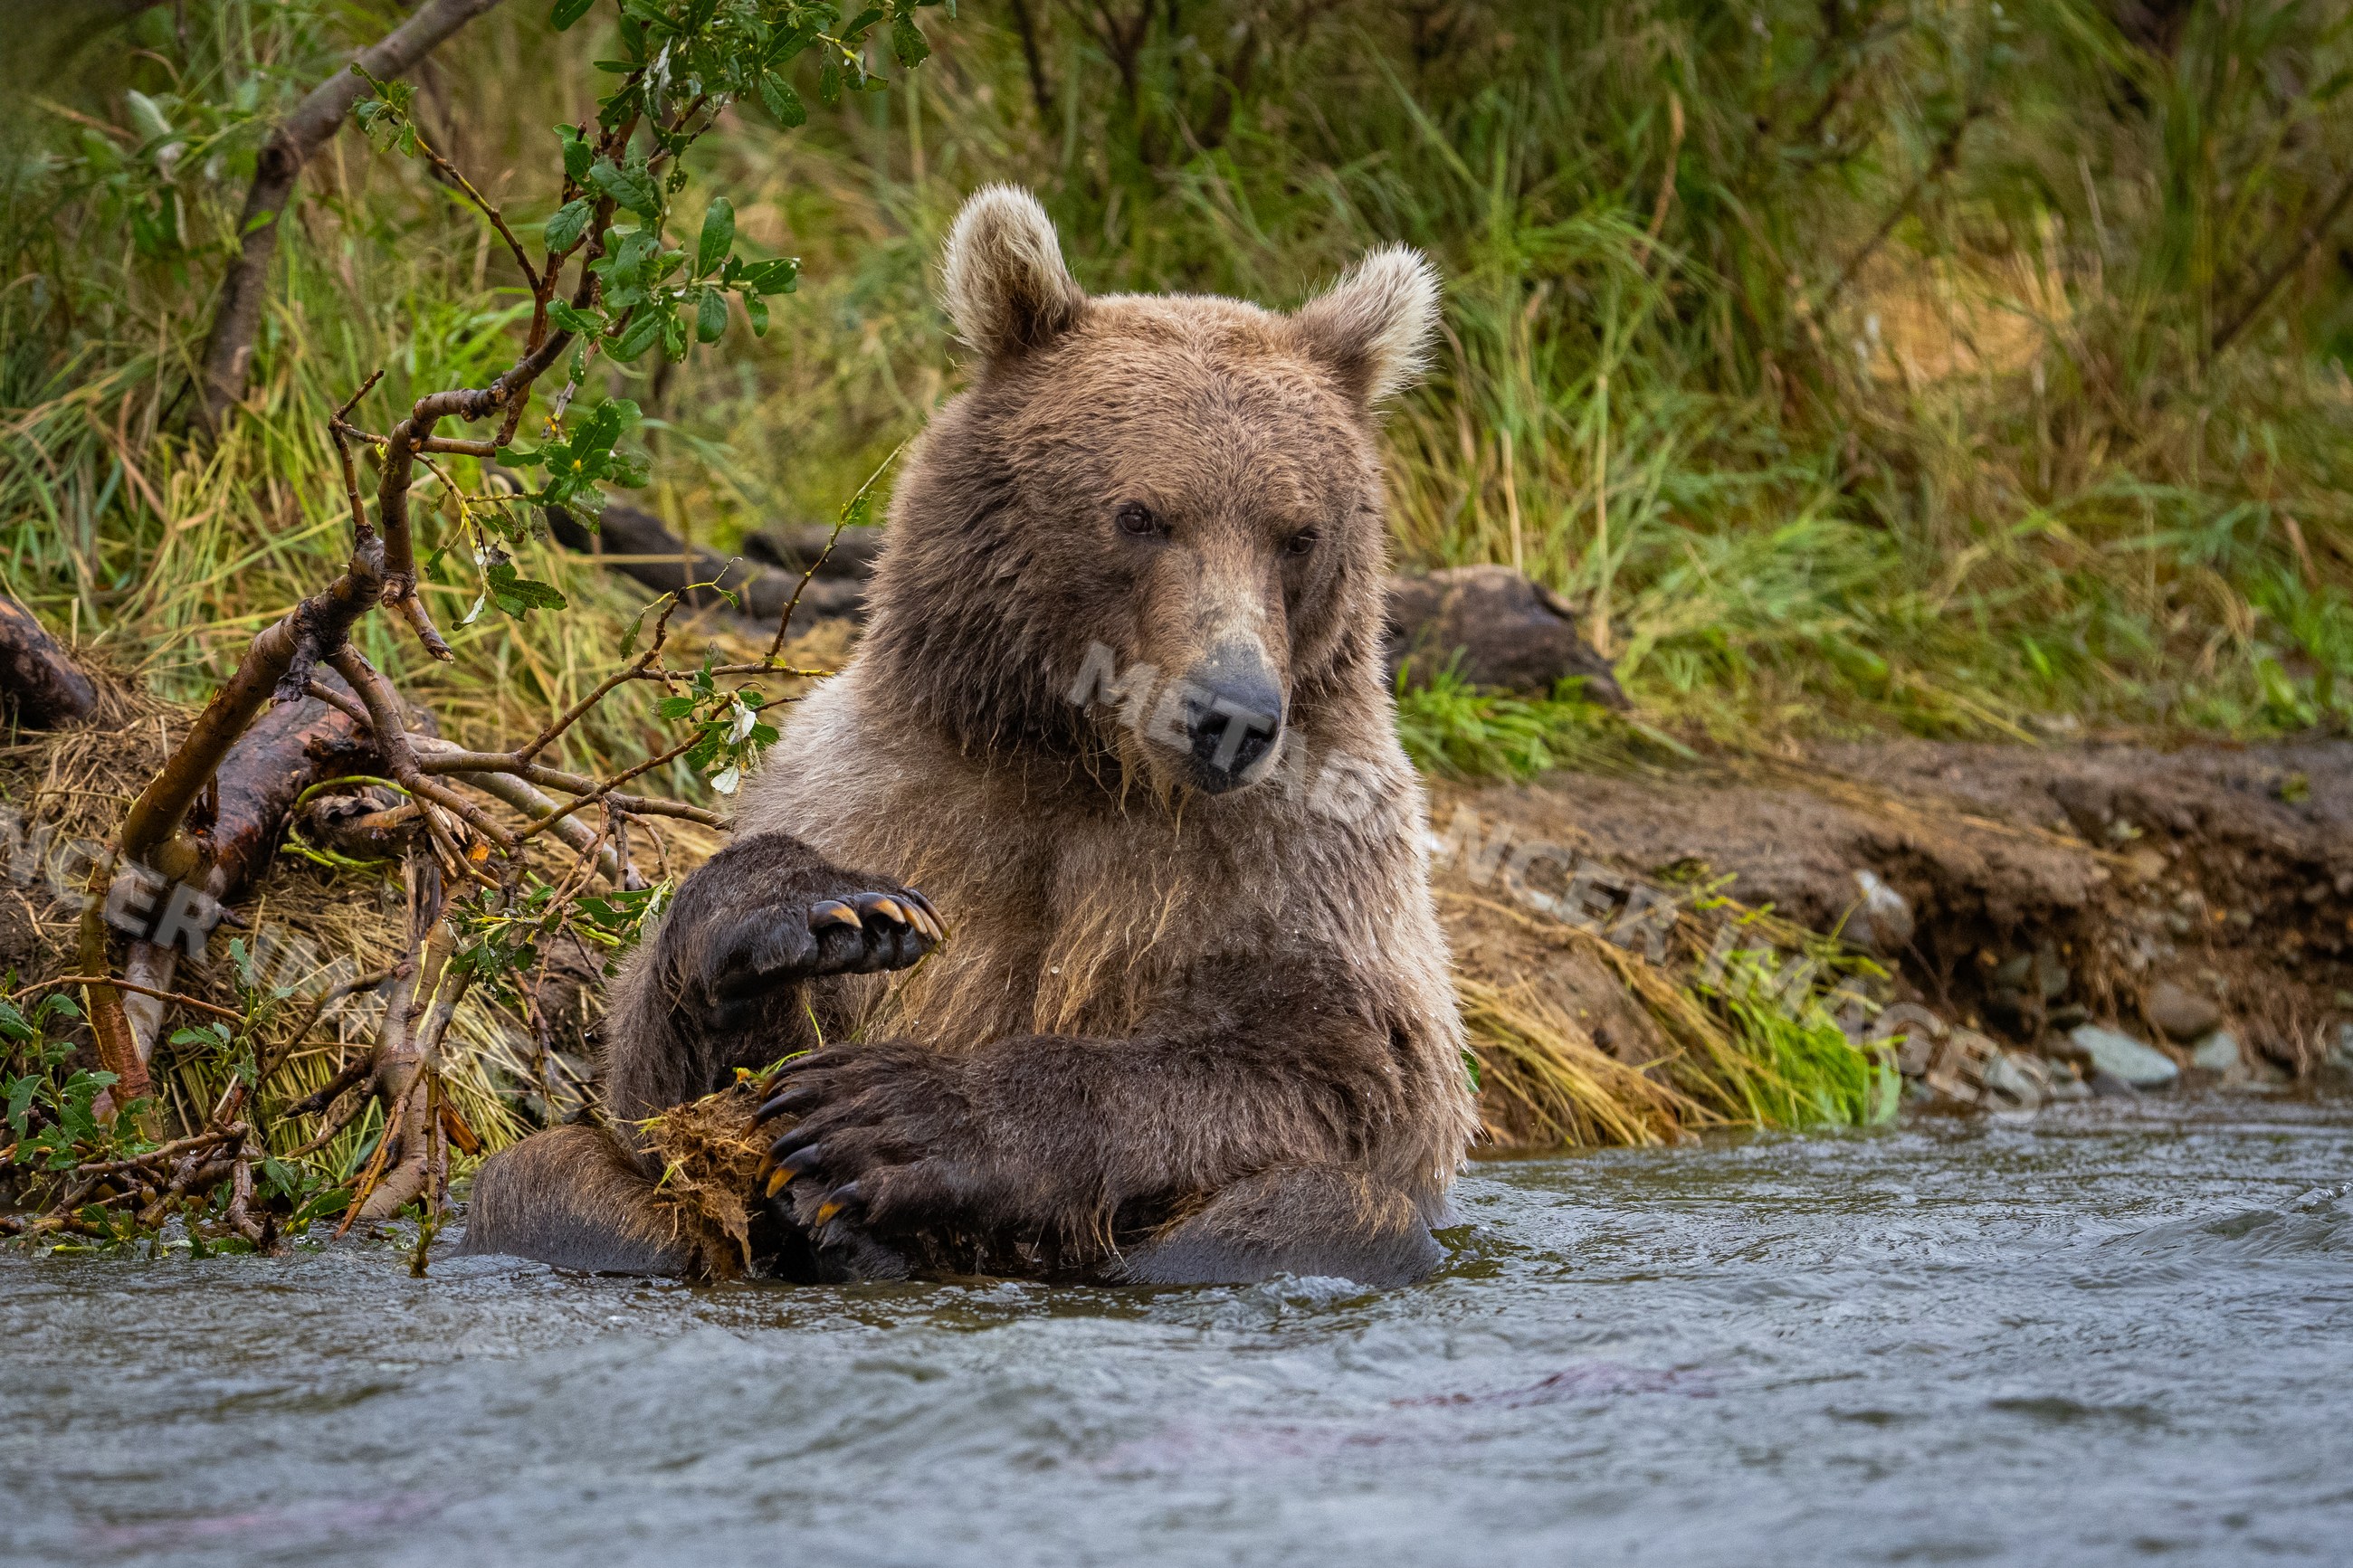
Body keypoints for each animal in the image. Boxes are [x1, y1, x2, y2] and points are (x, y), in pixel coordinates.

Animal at [460, 185, 1476, 1287]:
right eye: (1138, 513)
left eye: (1297, 532)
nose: (1232, 712)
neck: (1084, 761)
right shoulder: (885, 788)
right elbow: (661, 1094)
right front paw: (813, 911)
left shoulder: (1310, 854)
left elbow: (1350, 1069)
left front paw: (897, 1119)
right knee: (543, 1182)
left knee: (1330, 1211)